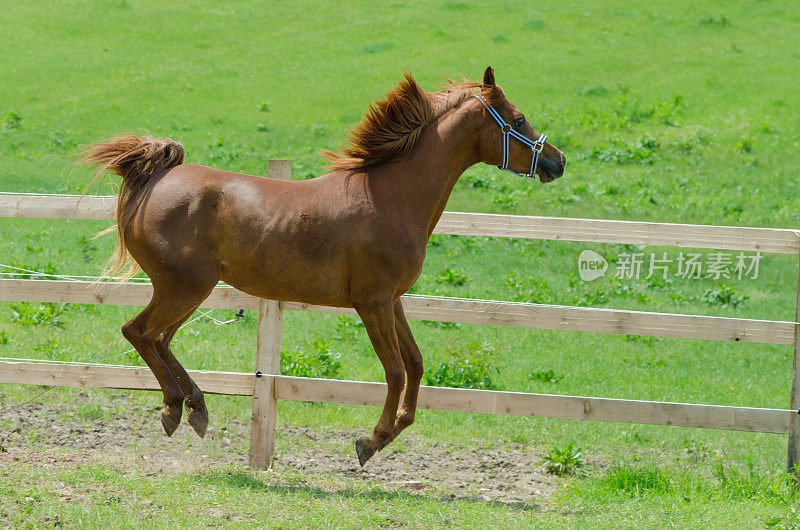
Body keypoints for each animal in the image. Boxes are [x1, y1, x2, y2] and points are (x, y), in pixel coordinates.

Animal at [79, 66, 568, 462]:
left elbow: (415, 363)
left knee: (159, 339)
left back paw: (192, 408)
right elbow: (394, 370)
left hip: (187, 290)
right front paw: (371, 441)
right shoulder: (372, 303)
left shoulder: (393, 300)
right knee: (140, 332)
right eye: (519, 120)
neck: (390, 198)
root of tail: (154, 179)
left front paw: (392, 431)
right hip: (184, 287)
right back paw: (178, 409)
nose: (557, 161)